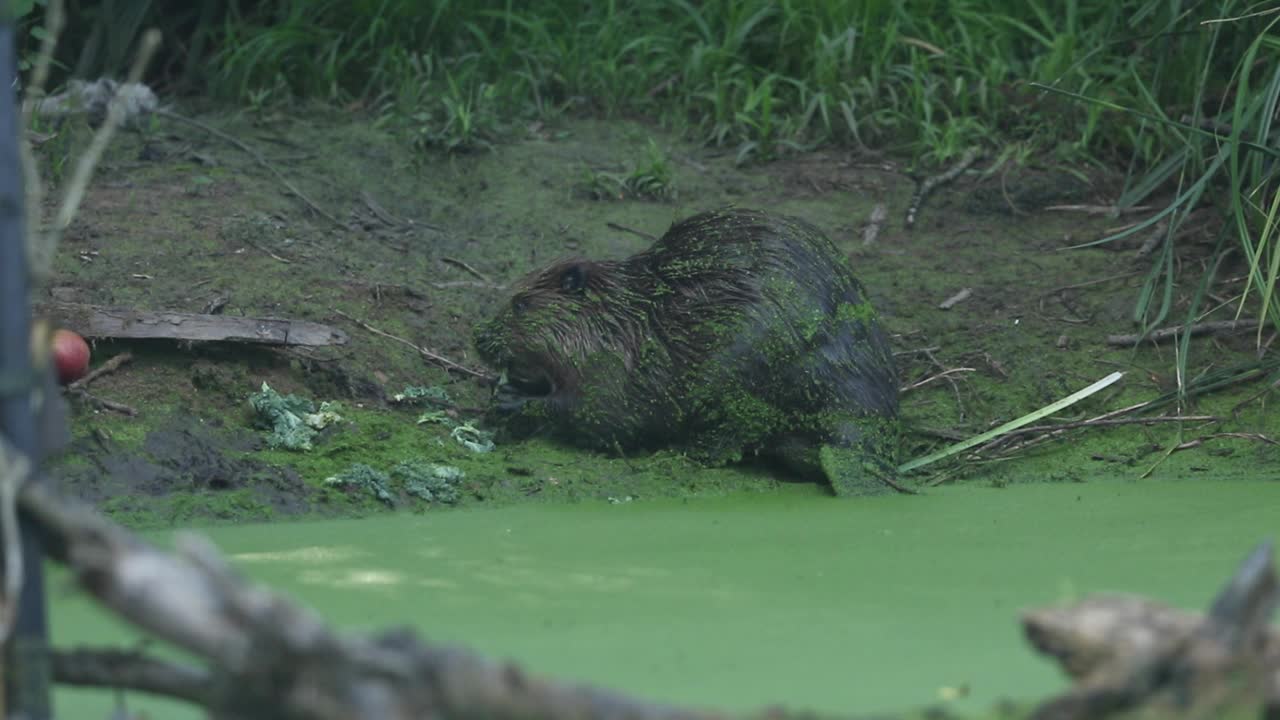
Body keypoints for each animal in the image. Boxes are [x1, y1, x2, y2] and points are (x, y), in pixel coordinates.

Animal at [471, 204, 901, 489]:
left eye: (520, 304)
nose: (478, 337)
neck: (621, 318)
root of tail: (859, 443)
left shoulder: (615, 366)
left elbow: (599, 412)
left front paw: (512, 400)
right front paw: (506, 387)